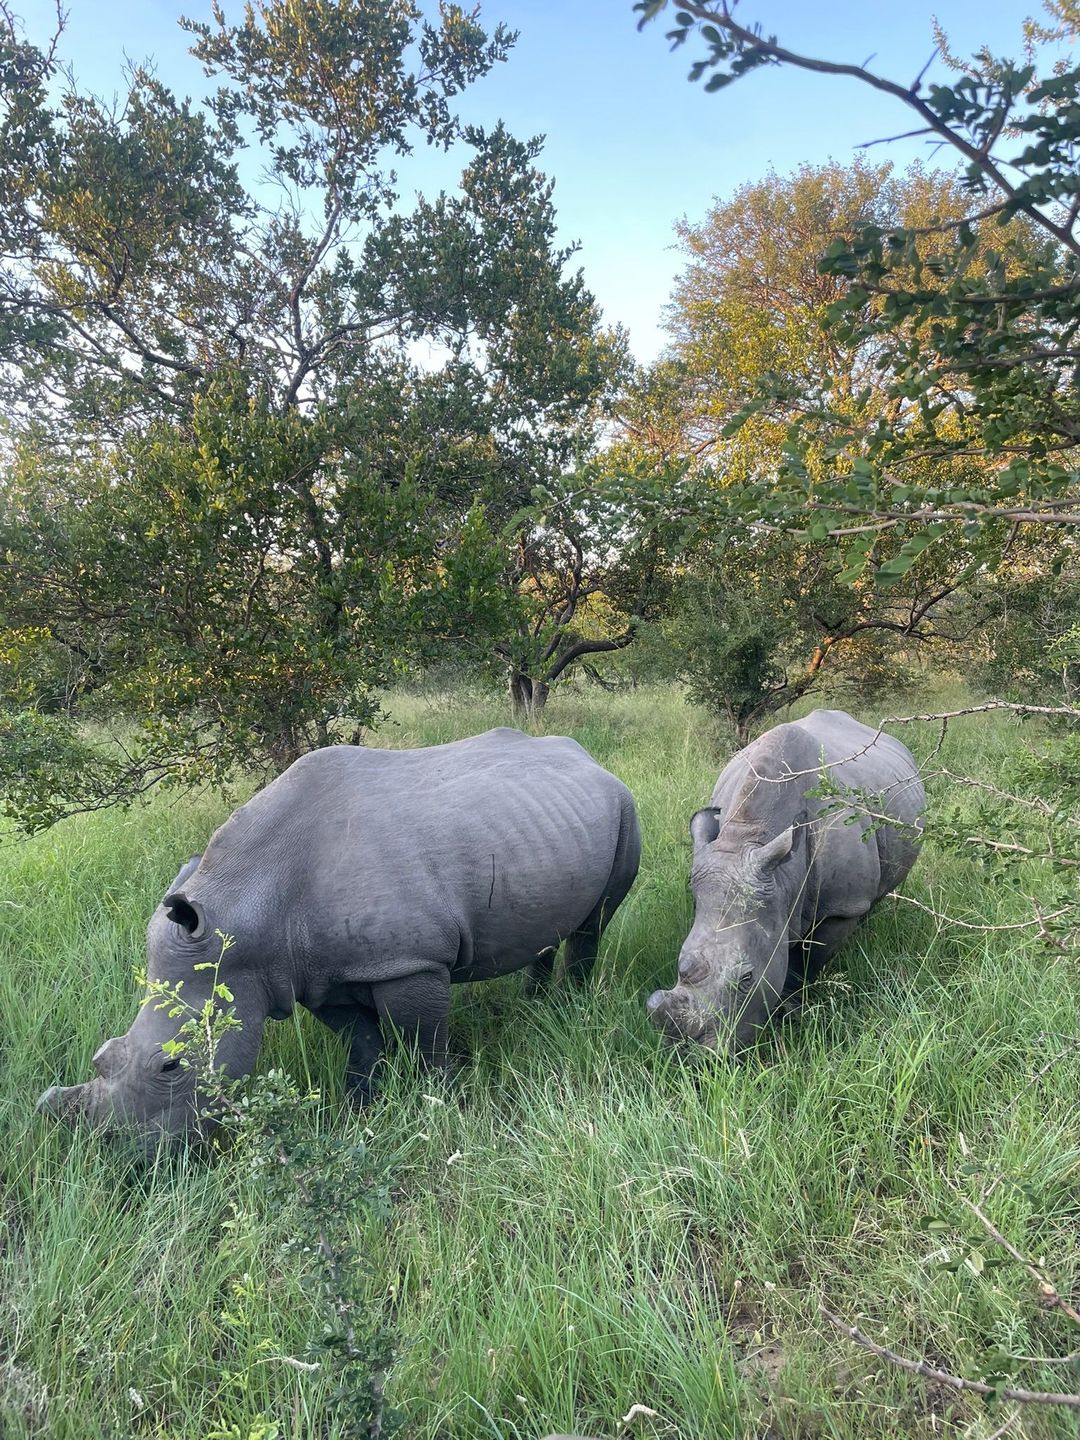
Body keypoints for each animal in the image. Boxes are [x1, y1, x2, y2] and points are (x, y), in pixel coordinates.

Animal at [38, 729, 640, 1145]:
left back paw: (570, 1007)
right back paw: (536, 1003)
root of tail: (591, 759)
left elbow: (423, 1043)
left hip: (624, 807)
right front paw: (360, 1108)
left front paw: (438, 1105)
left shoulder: (410, 960)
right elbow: (361, 1041)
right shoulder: (313, 973)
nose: (127, 1159)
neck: (248, 908)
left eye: (170, 1066)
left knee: (595, 921)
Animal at [647, 709, 924, 1052]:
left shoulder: (840, 906)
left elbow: (806, 962)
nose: (692, 1055)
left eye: (747, 978)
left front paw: (790, 1010)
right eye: (679, 965)